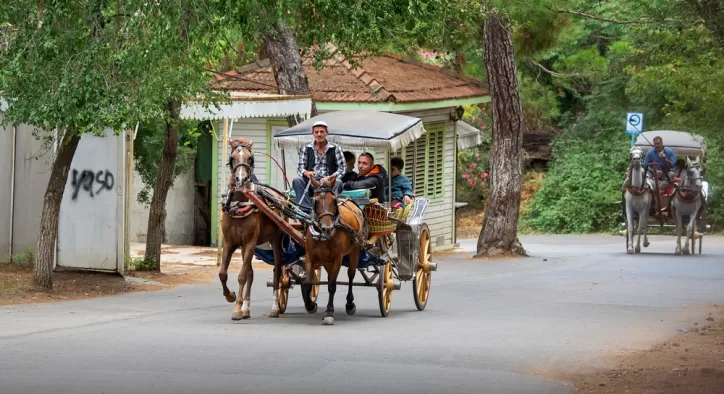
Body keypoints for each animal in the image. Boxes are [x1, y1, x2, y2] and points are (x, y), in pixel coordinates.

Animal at [221, 139, 286, 320]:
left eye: (250, 158)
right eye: (232, 158)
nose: (241, 178)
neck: (239, 206)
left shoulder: (250, 242)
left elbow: (242, 276)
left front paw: (237, 308)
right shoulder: (230, 243)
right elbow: (223, 274)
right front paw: (231, 297)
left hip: (276, 241)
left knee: (277, 271)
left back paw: (275, 308)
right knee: (251, 272)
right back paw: (246, 308)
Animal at [302, 177, 364, 324]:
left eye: (333, 200)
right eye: (315, 201)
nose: (327, 228)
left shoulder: (337, 258)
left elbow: (331, 286)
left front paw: (329, 312)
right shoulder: (310, 257)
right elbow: (307, 283)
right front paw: (310, 305)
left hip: (355, 251)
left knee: (351, 275)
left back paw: (350, 304)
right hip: (326, 261)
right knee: (331, 275)